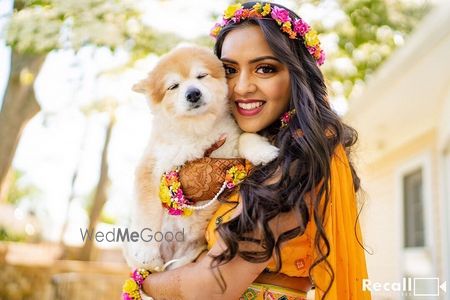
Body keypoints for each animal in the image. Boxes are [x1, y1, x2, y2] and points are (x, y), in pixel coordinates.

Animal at [123, 45, 278, 272]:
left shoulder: (230, 142)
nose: (193, 93)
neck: (197, 130)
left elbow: (245, 137)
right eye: (174, 86)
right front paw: (145, 252)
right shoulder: (151, 167)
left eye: (201, 76)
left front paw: (263, 151)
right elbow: (147, 214)